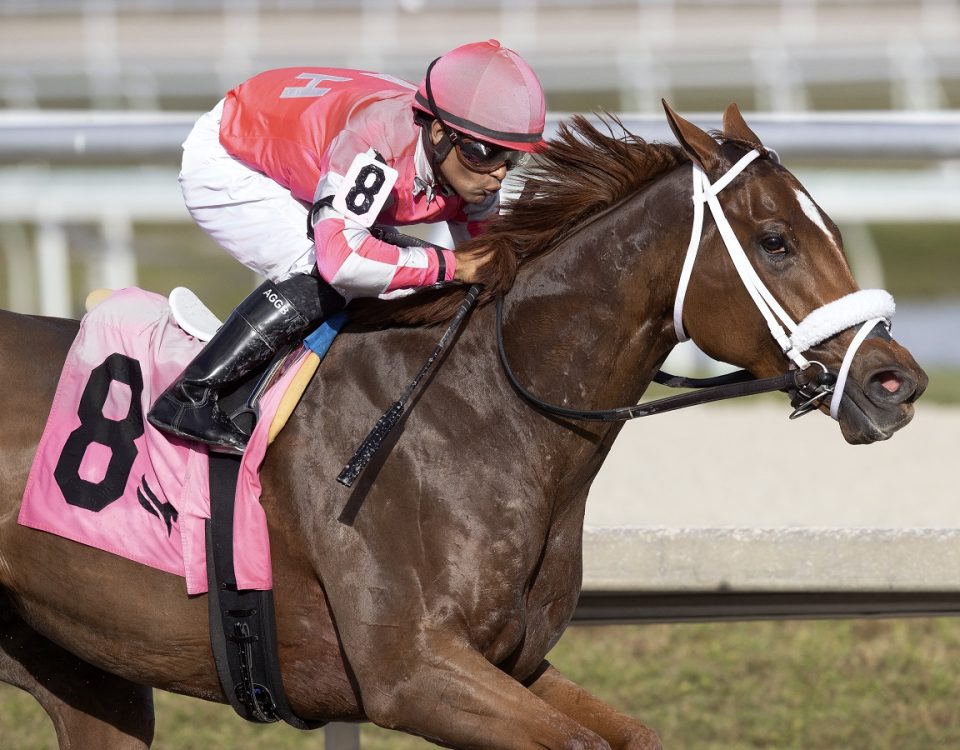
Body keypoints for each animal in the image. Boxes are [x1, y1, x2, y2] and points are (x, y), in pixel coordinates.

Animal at [0, 103, 928, 748]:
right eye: (774, 240)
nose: (897, 382)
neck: (482, 415)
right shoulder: (412, 674)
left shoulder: (513, 663)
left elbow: (625, 733)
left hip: (89, 673)